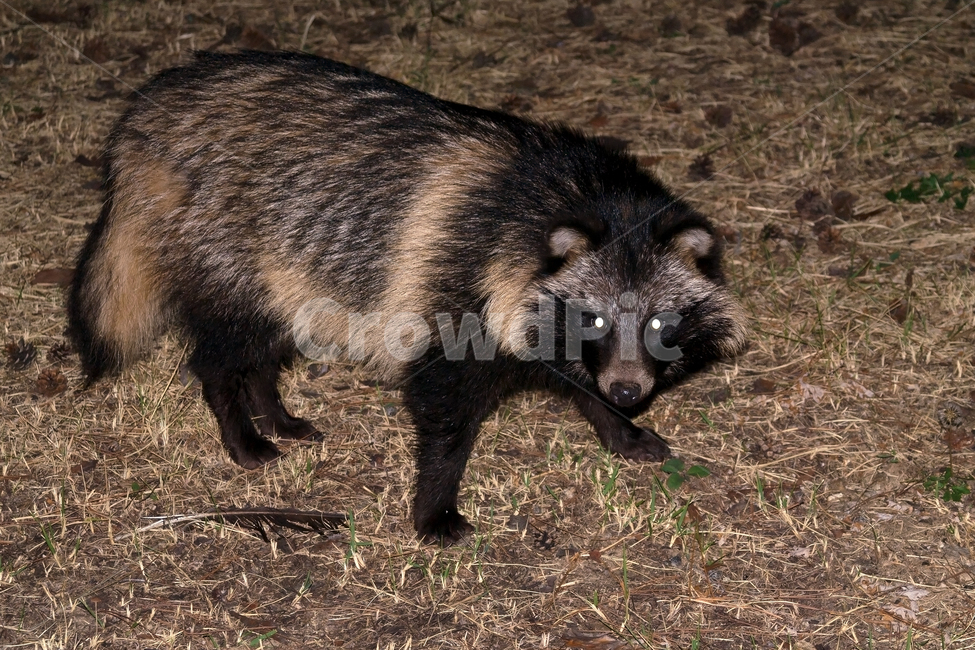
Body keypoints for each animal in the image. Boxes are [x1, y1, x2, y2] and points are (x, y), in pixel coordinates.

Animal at [68, 50, 747, 543]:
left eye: (659, 322)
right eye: (596, 318)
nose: (629, 392)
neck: (590, 198)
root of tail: (148, 110)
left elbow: (569, 372)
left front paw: (615, 423)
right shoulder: (459, 284)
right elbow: (442, 410)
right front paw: (435, 507)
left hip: (284, 263)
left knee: (266, 338)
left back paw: (274, 410)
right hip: (220, 241)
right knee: (226, 346)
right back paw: (242, 427)